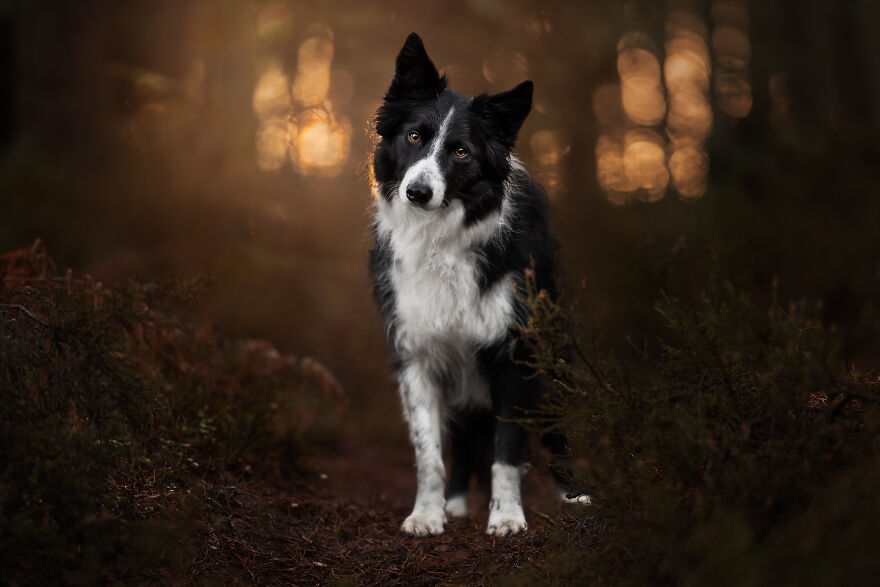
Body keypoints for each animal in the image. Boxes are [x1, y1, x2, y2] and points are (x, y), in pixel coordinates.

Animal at [370, 32, 572, 536]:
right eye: (414, 137)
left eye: (461, 151)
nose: (417, 193)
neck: (440, 239)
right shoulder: (418, 351)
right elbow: (428, 452)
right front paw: (427, 513)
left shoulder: (511, 352)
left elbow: (506, 449)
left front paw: (508, 516)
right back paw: (456, 503)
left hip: (551, 354)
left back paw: (575, 495)